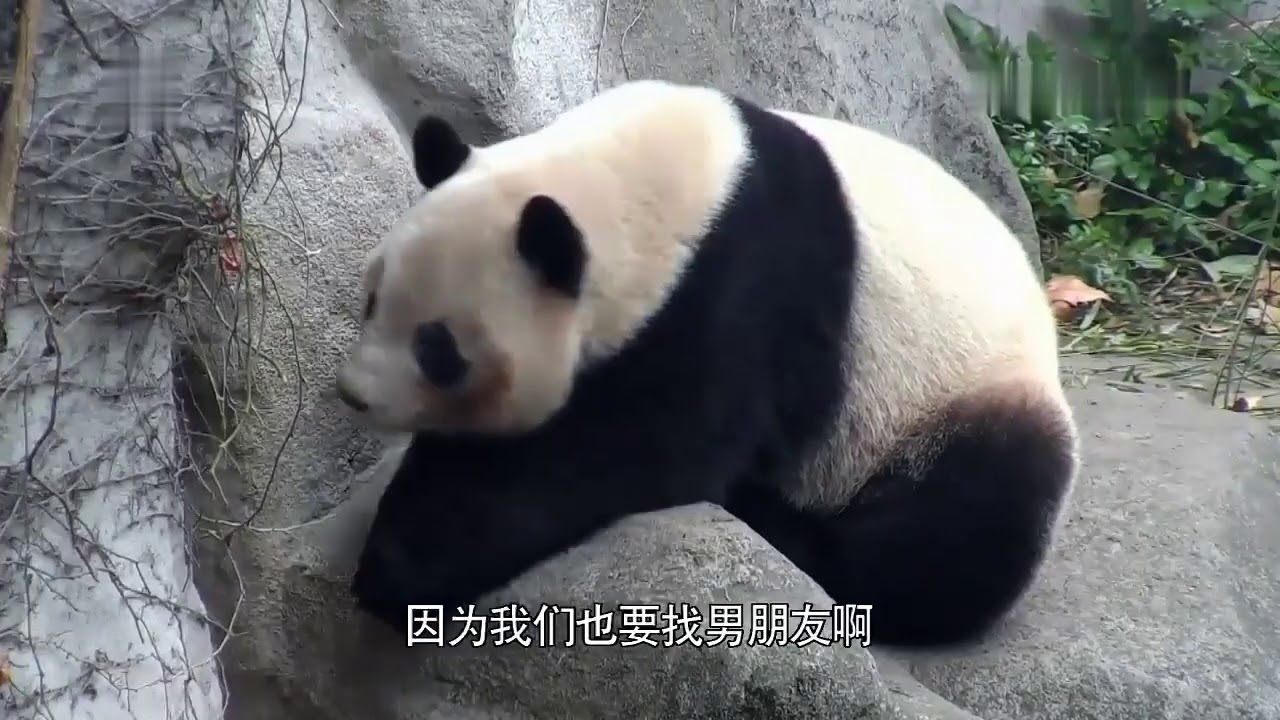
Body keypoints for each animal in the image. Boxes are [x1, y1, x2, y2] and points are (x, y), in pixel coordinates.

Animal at [334, 79, 1080, 648]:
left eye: (438, 349)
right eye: (371, 299)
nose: (353, 394)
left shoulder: (742, 290)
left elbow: (645, 446)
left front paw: (404, 565)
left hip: (953, 398)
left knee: (962, 522)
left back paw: (791, 533)